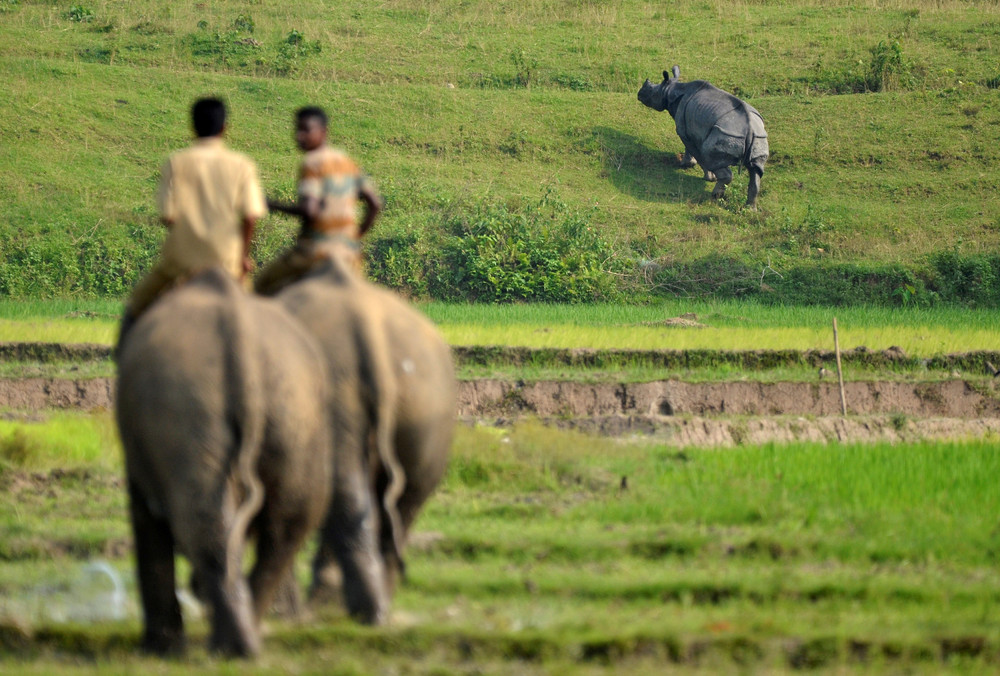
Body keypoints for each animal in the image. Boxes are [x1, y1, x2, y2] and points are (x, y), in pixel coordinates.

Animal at [117, 268, 334, 656]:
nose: (195, 590)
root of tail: (238, 332)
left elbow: (146, 513)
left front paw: (159, 649)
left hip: (188, 407)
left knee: (201, 515)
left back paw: (228, 645)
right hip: (295, 409)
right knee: (293, 518)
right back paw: (247, 636)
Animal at [636, 66, 768, 209]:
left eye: (651, 90)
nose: (639, 93)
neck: (671, 90)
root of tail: (750, 129)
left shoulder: (684, 131)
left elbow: (697, 154)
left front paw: (696, 170)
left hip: (725, 134)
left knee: (710, 157)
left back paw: (715, 196)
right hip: (759, 137)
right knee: (756, 170)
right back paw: (750, 209)